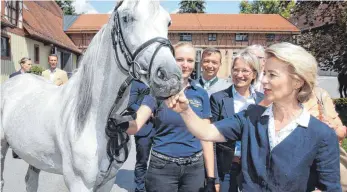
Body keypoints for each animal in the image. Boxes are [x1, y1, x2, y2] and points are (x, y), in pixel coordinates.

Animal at [0, 0, 182, 191]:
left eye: (168, 22)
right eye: (126, 18)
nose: (170, 78)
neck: (94, 118)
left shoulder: (107, 181)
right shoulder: (79, 183)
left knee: (31, 180)